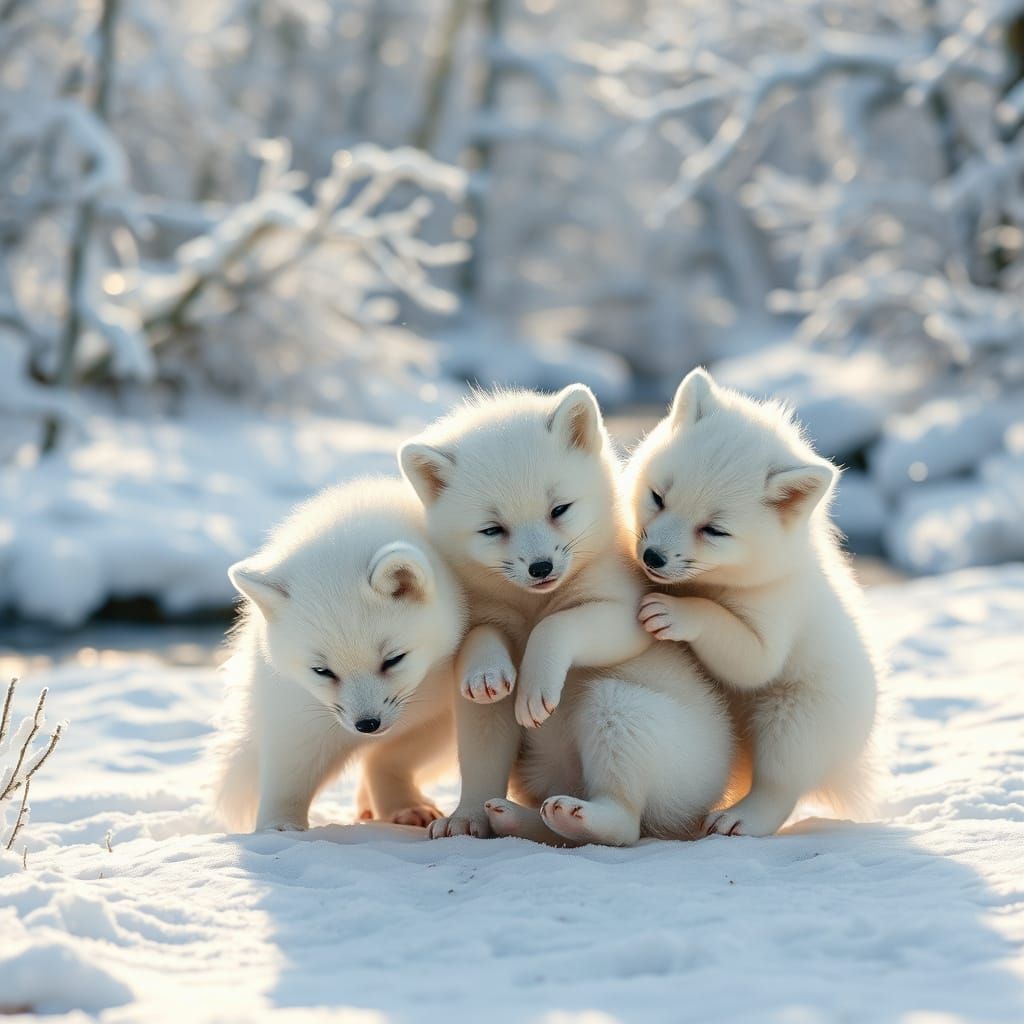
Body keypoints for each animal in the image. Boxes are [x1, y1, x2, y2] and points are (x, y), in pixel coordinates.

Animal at [211, 478, 465, 833]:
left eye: (393, 659)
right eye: (322, 671)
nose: (367, 724)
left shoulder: (445, 713)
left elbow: (389, 756)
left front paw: (404, 805)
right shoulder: (296, 710)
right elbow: (289, 773)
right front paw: (279, 828)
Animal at [399, 385, 733, 846]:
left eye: (559, 509)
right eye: (492, 529)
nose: (541, 567)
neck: (532, 603)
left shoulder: (629, 607)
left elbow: (559, 625)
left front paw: (535, 687)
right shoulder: (477, 620)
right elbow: (482, 703)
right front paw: (465, 816)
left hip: (623, 708)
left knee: (625, 823)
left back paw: (581, 815)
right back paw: (514, 816)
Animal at [626, 367, 879, 837]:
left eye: (714, 530)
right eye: (658, 497)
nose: (652, 557)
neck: (713, 583)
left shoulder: (778, 613)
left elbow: (751, 659)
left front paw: (674, 613)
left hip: (795, 716)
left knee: (781, 782)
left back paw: (740, 817)